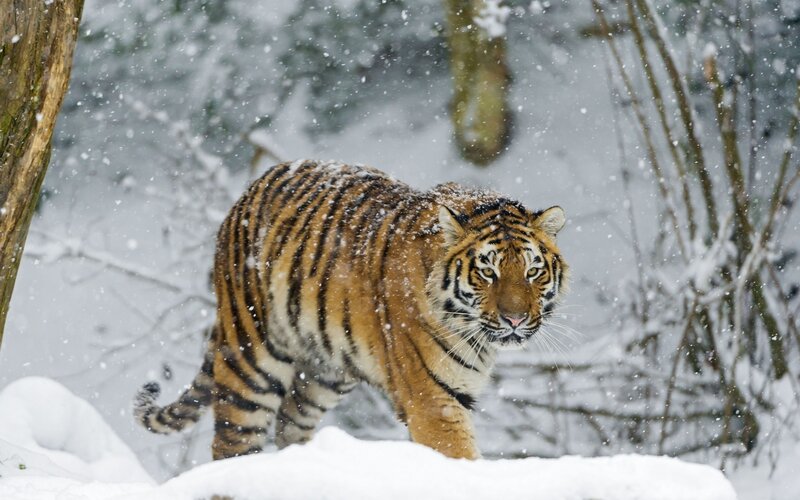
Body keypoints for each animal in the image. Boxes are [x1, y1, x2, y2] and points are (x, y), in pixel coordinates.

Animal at [134, 160, 568, 460]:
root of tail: (246, 193)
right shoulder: (434, 401)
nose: (515, 319)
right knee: (232, 443)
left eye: (532, 271)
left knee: (289, 424)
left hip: (322, 373)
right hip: (251, 360)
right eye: (487, 272)